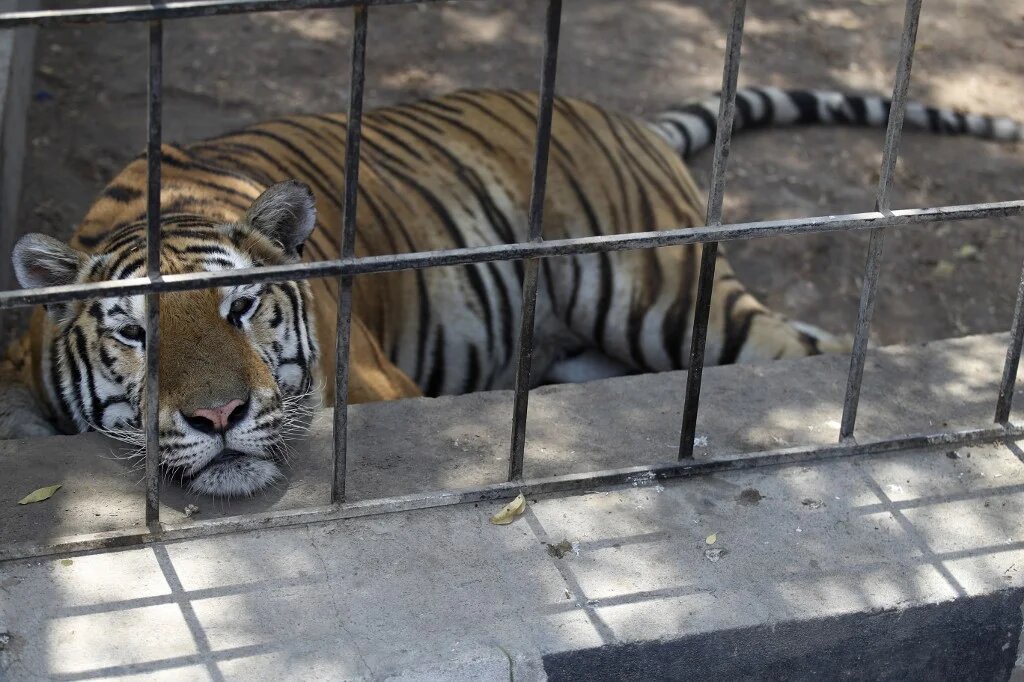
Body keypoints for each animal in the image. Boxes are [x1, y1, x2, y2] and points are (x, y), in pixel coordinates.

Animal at [1, 87, 1020, 497]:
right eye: (134, 335)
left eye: (242, 309)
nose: (218, 417)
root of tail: (619, 116)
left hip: (667, 298)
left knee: (815, 353)